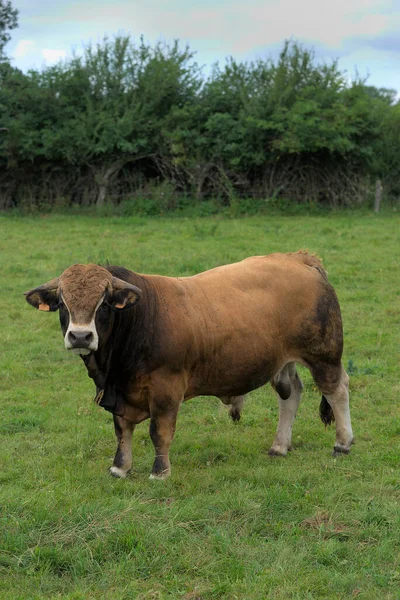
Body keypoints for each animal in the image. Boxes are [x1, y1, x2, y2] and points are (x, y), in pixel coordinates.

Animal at [25, 252, 354, 478]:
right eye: (62, 303)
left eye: (104, 303)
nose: (80, 336)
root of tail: (299, 258)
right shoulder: (120, 394)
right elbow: (122, 430)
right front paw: (120, 468)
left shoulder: (166, 389)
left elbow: (159, 431)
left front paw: (160, 471)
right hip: (282, 361)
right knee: (291, 394)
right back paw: (279, 446)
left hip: (323, 355)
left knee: (337, 391)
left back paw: (343, 443)